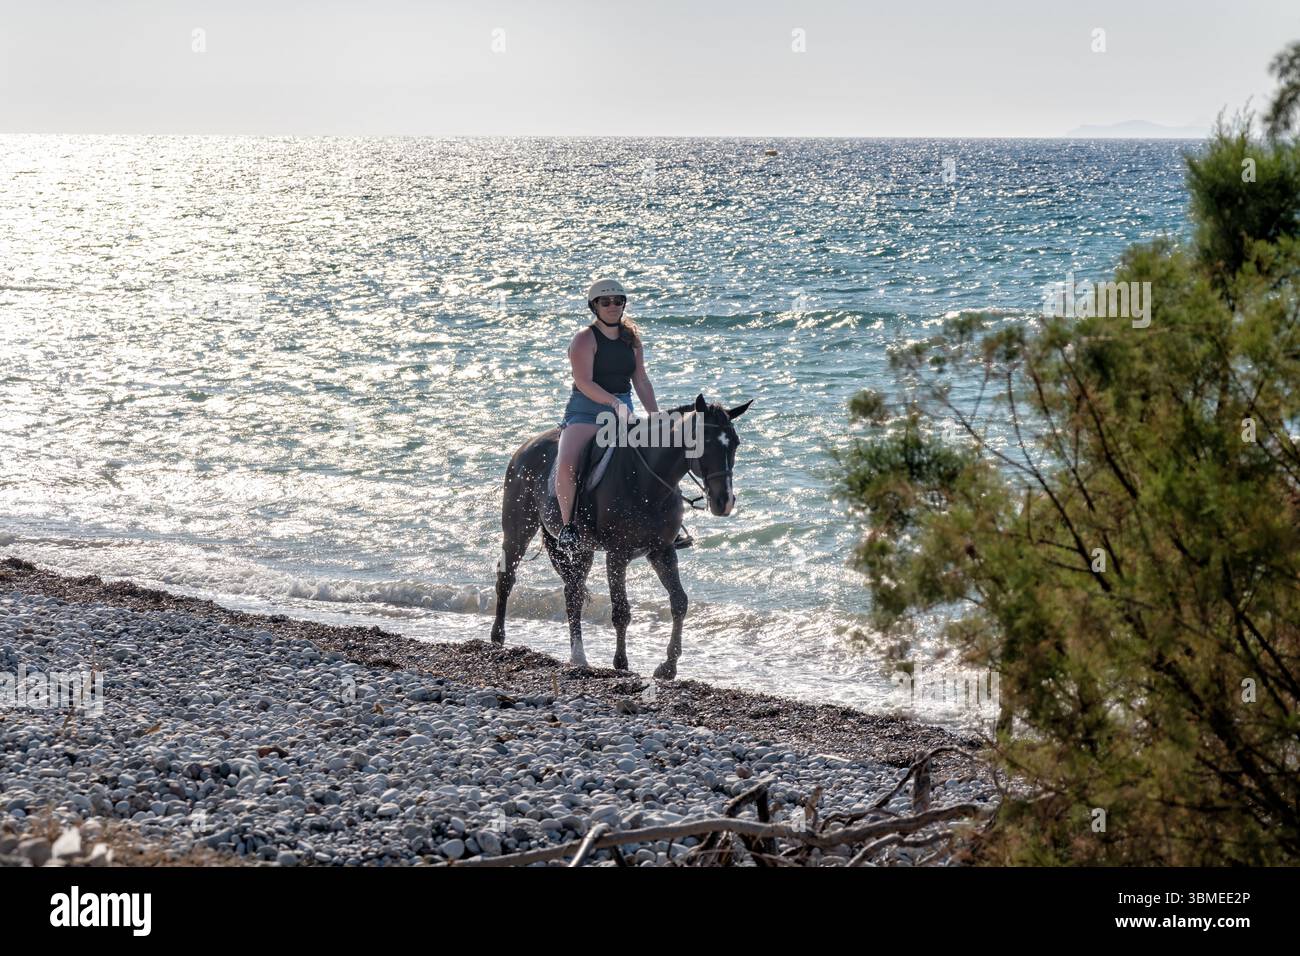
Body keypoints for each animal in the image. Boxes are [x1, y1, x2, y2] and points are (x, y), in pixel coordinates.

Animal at [490, 393, 752, 679]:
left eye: (736, 443)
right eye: (703, 442)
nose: (723, 502)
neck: (648, 481)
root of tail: (525, 447)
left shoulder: (662, 551)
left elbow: (679, 603)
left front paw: (668, 666)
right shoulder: (617, 555)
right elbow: (621, 611)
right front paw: (621, 663)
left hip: (582, 549)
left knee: (573, 592)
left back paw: (578, 656)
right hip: (518, 530)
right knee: (507, 577)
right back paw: (498, 637)